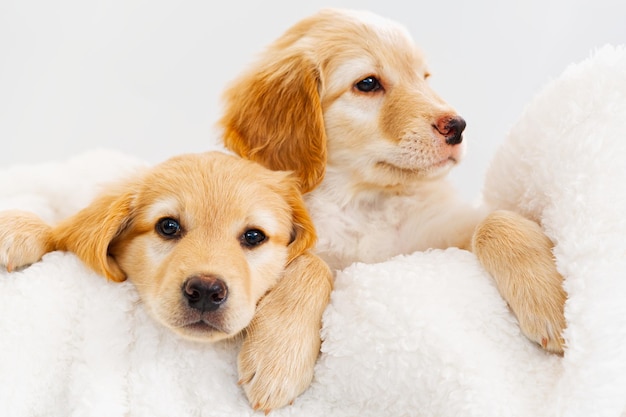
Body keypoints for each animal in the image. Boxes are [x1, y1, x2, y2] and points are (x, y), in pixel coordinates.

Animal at [0, 151, 332, 412]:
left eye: (253, 236)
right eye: (168, 227)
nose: (205, 290)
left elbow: (315, 261)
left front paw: (279, 360)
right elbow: (63, 232)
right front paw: (21, 229)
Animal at [219, 8, 564, 352]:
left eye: (423, 78)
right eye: (368, 83)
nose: (457, 126)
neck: (364, 203)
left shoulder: (439, 238)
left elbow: (495, 219)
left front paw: (550, 298)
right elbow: (307, 263)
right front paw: (277, 351)